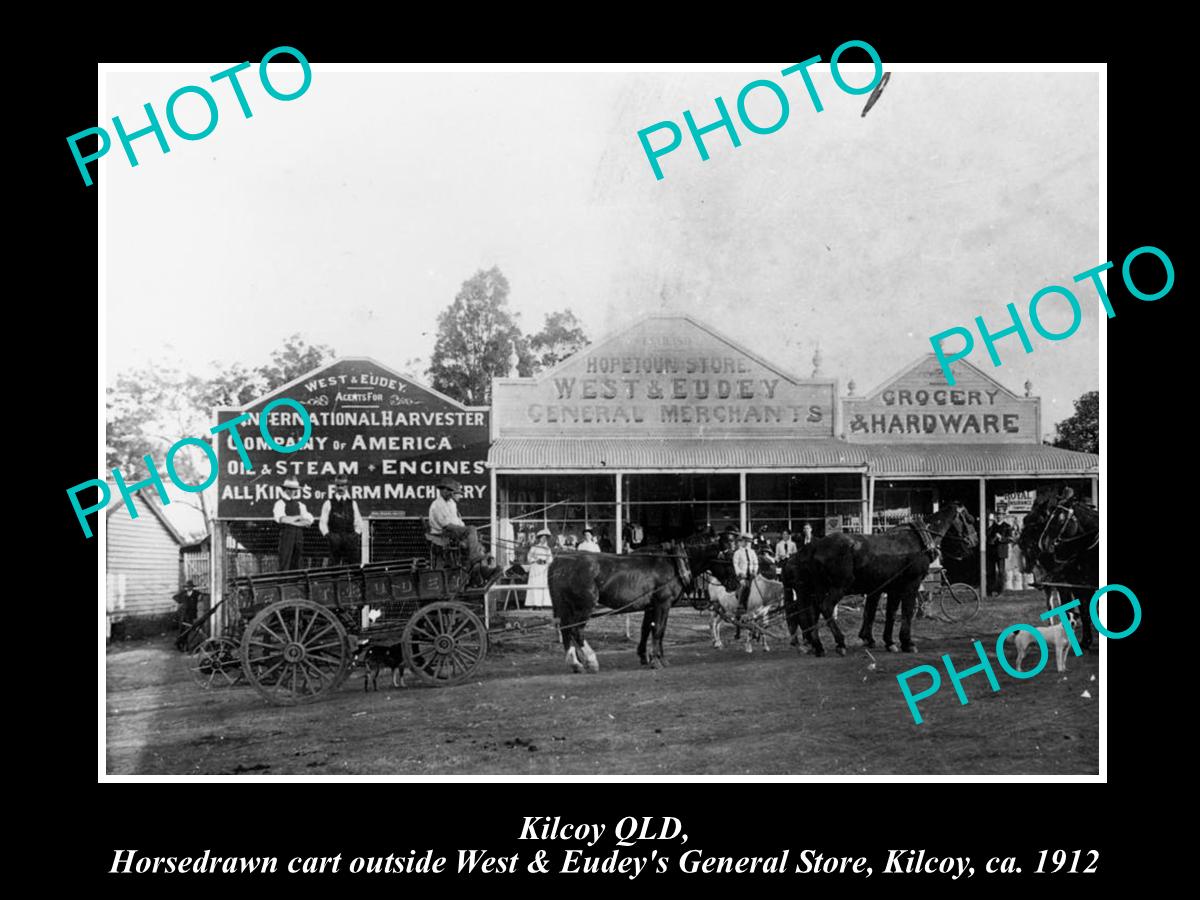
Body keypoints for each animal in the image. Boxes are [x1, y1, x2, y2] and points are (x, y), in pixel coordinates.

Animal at [549, 542, 700, 672]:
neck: (673, 563)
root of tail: (561, 561)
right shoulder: (663, 604)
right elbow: (658, 630)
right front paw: (656, 661)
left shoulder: (651, 607)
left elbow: (648, 629)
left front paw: (649, 657)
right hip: (584, 606)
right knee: (576, 630)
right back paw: (590, 661)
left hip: (566, 606)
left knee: (566, 630)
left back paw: (575, 663)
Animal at [782, 508, 979, 657]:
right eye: (968, 519)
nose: (975, 540)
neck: (919, 539)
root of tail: (815, 547)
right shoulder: (911, 584)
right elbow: (906, 612)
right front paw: (907, 642)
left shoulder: (893, 588)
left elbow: (890, 613)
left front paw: (890, 642)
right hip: (838, 586)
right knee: (825, 607)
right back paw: (839, 642)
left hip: (817, 589)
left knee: (809, 612)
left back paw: (817, 645)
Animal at [1022, 489, 1099, 652]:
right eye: (1025, 519)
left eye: (1034, 523)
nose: (1021, 540)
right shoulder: (1076, 584)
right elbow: (1081, 610)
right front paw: (1085, 641)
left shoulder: (1073, 585)